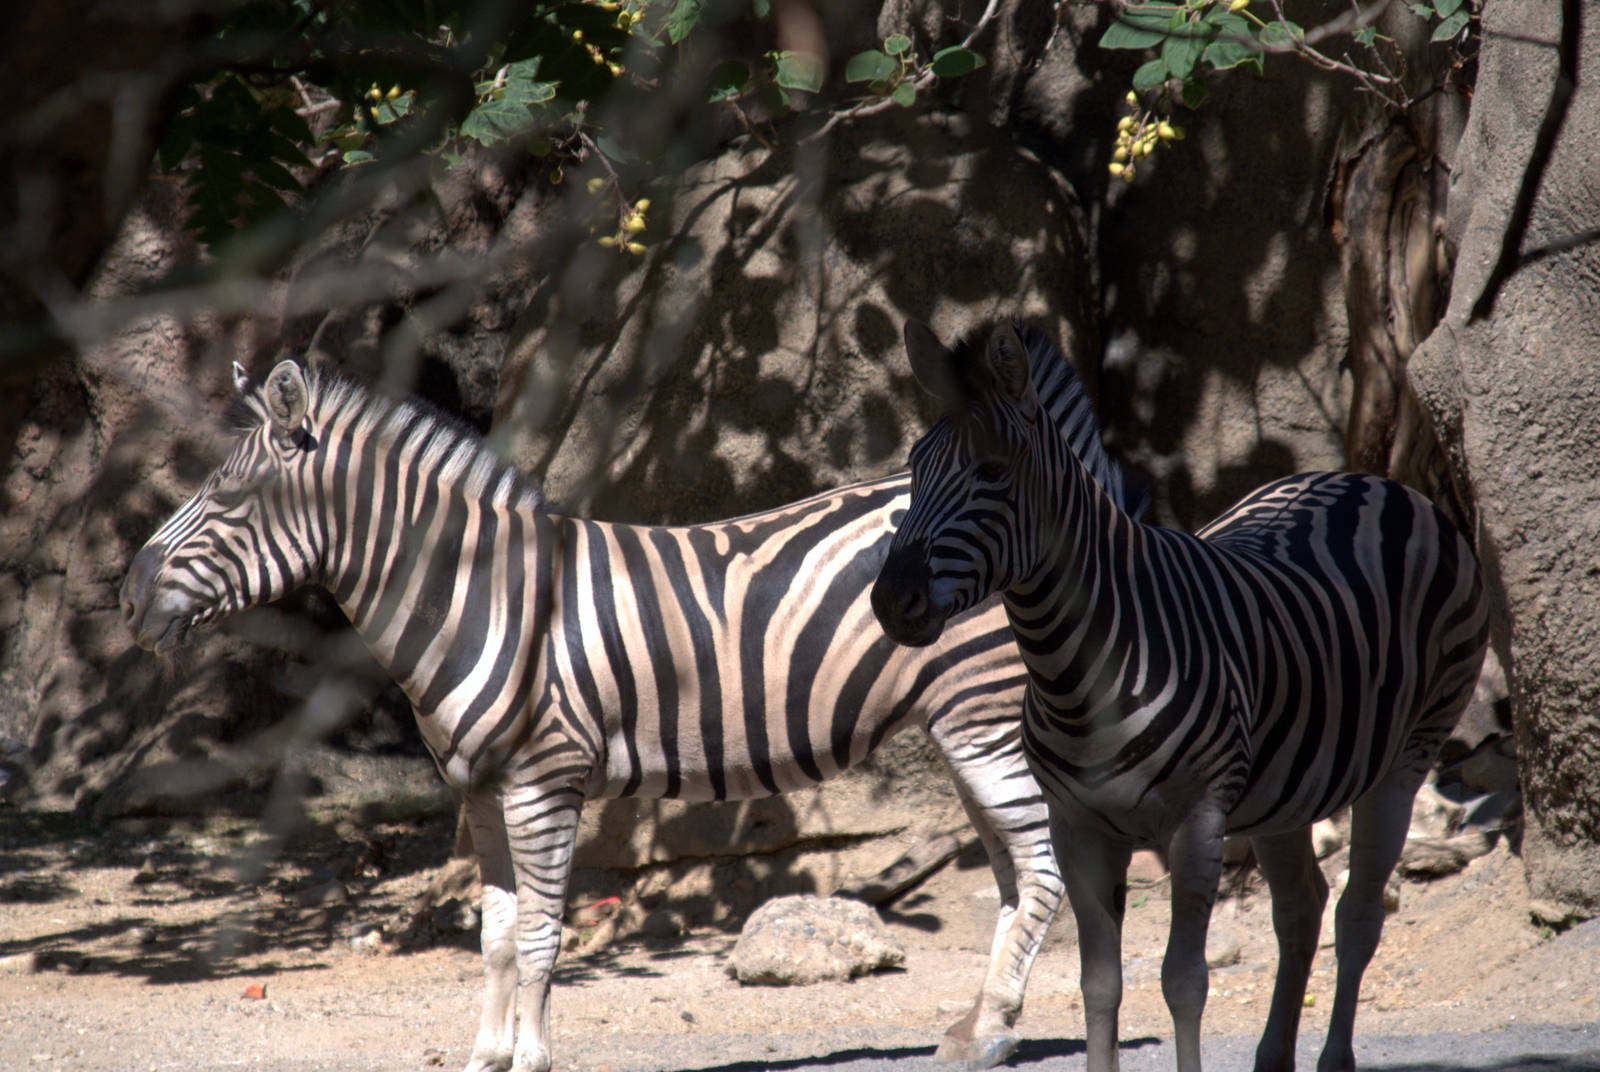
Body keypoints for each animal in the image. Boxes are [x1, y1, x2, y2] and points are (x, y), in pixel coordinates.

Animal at [119, 336, 1141, 1072]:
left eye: (230, 497)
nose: (126, 599)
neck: (479, 594)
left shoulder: (544, 779)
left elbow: (539, 936)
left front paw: (532, 1059)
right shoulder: (479, 789)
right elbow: (494, 937)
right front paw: (487, 1058)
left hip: (983, 719)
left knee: (1040, 872)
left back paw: (996, 1031)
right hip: (966, 724)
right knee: (1012, 875)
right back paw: (978, 1031)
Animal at [871, 322, 1489, 1072]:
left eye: (993, 471)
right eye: (914, 466)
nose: (889, 601)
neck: (1078, 675)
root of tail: (1368, 480)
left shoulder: (1197, 820)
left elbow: (1183, 980)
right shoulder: (1078, 826)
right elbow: (1099, 983)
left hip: (1407, 755)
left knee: (1358, 913)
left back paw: (1332, 1057)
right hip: (1286, 786)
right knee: (1302, 908)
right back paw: (1271, 1058)